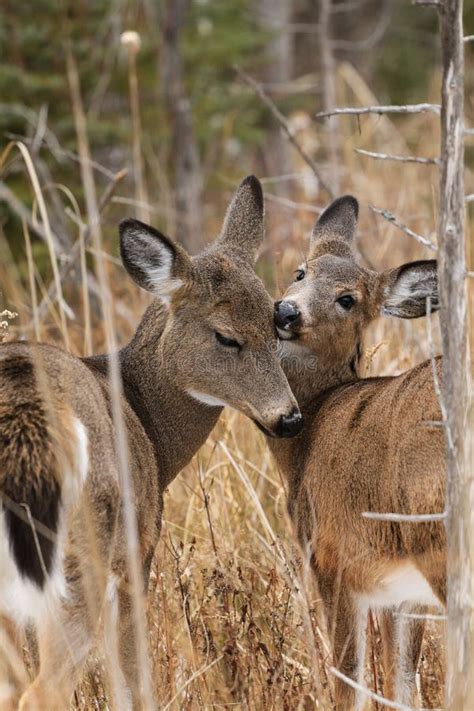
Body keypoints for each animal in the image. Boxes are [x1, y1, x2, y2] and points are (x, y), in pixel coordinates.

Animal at [0, 175, 302, 708]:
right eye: (226, 337)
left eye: (277, 323)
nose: (288, 418)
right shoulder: (138, 553)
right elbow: (132, 683)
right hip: (83, 553)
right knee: (41, 691)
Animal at [270, 196, 444, 711]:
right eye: (301, 271)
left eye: (347, 299)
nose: (285, 311)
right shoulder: (402, 593)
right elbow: (402, 682)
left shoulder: (333, 561)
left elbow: (349, 679)